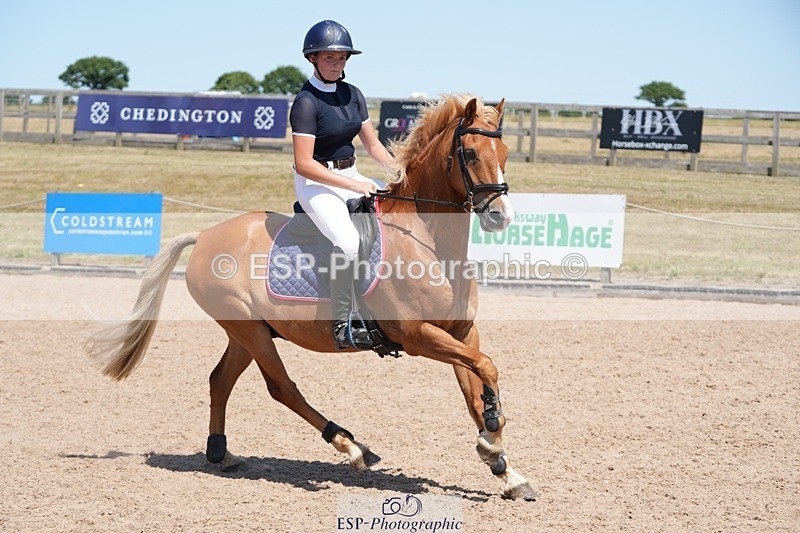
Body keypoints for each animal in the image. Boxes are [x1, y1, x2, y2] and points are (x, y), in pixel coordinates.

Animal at [88, 95, 537, 501]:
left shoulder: (460, 331)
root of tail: (206, 235)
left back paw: (222, 454)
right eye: (469, 153)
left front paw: (503, 465)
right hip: (251, 331)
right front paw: (492, 443)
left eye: (504, 153)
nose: (501, 216)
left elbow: (476, 387)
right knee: (282, 388)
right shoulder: (416, 334)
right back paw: (352, 447)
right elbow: (487, 367)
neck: (427, 240)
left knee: (220, 381)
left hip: (246, 331)